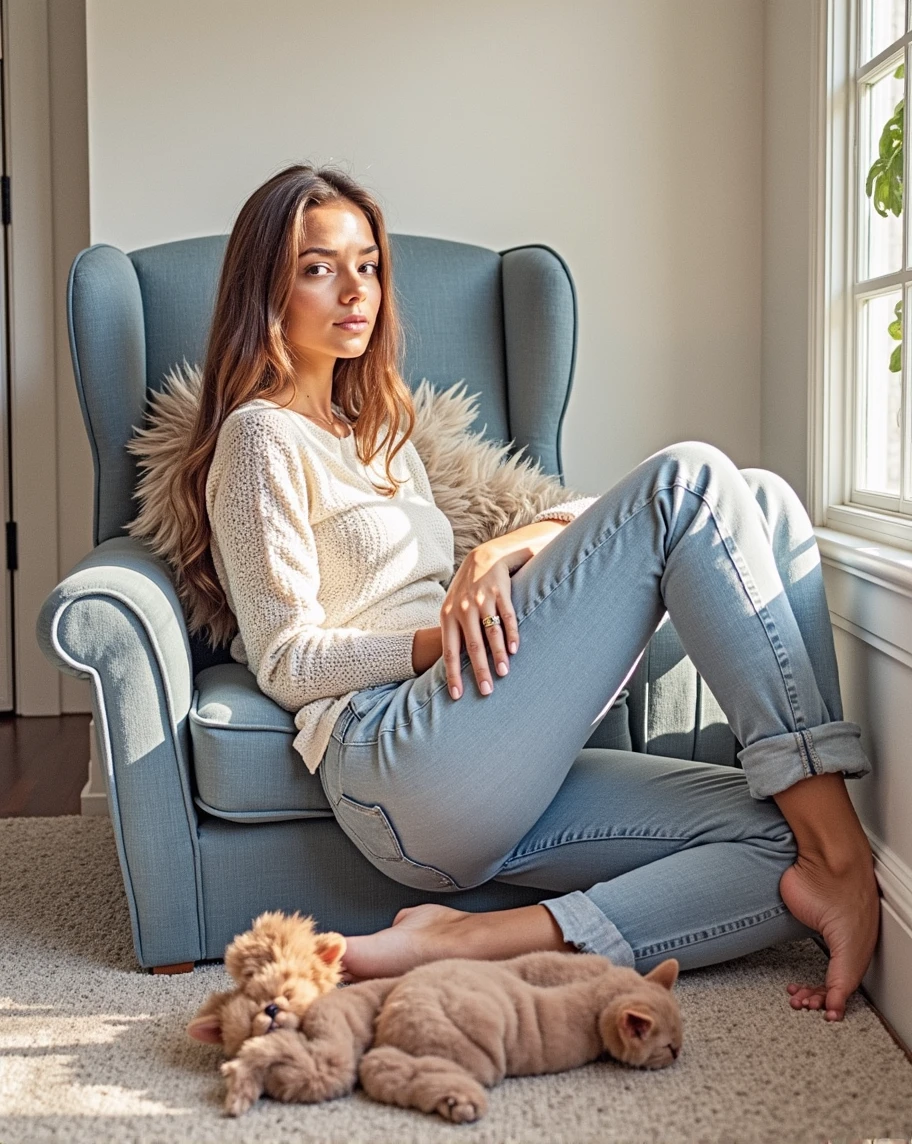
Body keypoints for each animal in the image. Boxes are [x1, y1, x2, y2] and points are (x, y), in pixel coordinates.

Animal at [220, 947, 677, 1116]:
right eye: (669, 1048)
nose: (677, 1058)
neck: (605, 987)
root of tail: (389, 1008)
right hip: (473, 1057)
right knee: (382, 1067)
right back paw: (460, 1102)